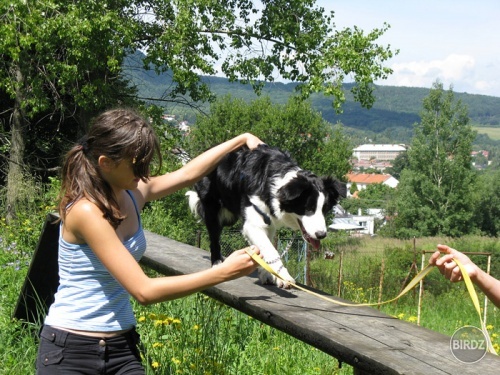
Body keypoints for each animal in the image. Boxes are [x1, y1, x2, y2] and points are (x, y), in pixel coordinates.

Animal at [186, 143, 346, 288]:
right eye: (308, 209)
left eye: (325, 209)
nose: (321, 235)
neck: (275, 184)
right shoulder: (252, 222)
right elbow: (270, 249)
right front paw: (283, 275)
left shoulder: (268, 223)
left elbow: (265, 248)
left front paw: (268, 273)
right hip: (213, 209)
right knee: (214, 237)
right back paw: (217, 263)